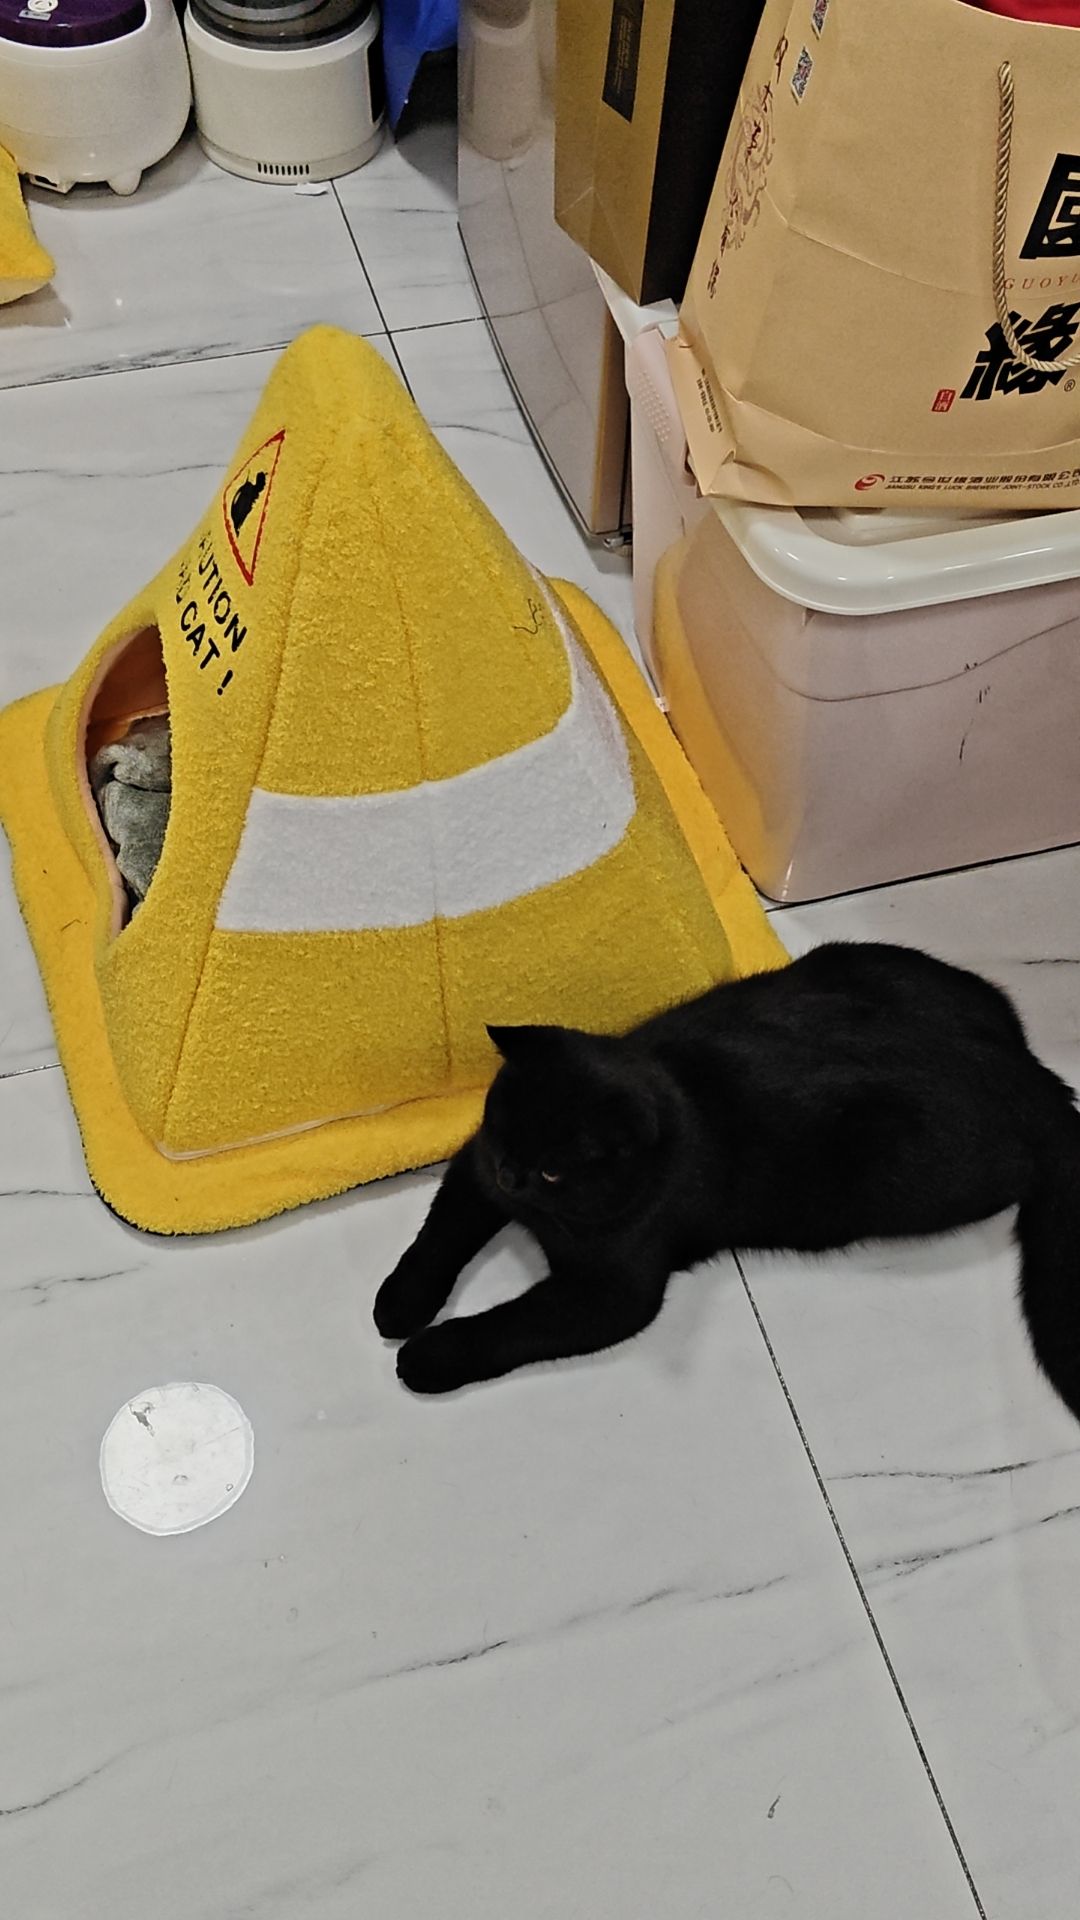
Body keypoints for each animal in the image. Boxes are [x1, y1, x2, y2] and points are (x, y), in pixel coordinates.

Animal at [374, 942, 1080, 1410]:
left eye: (552, 1170)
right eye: (502, 1119)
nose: (511, 1174)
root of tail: (1036, 1081)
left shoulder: (609, 1292)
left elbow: (514, 1323)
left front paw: (429, 1355)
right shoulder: (473, 1169)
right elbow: (436, 1237)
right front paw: (399, 1304)